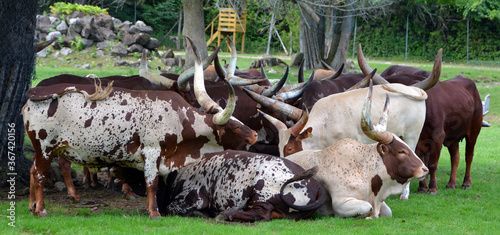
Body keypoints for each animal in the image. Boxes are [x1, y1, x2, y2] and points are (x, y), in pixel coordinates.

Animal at [22, 36, 258, 218]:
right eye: (234, 127)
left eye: (239, 121)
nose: (255, 135)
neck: (179, 118)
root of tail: (32, 97)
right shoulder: (152, 152)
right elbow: (151, 182)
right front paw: (154, 213)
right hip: (45, 148)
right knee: (40, 174)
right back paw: (41, 210)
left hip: (43, 149)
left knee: (33, 171)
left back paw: (32, 207)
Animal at [157, 151, 328, 222]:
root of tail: (317, 185)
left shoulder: (192, 198)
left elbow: (170, 209)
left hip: (262, 191)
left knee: (261, 214)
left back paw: (227, 214)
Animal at [360, 45, 484, 196]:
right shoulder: (417, 139)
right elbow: (421, 160)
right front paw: (422, 187)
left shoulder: (438, 137)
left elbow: (432, 164)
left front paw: (432, 188)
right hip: (452, 137)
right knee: (455, 156)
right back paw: (451, 184)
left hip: (474, 130)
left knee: (468, 156)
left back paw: (466, 183)